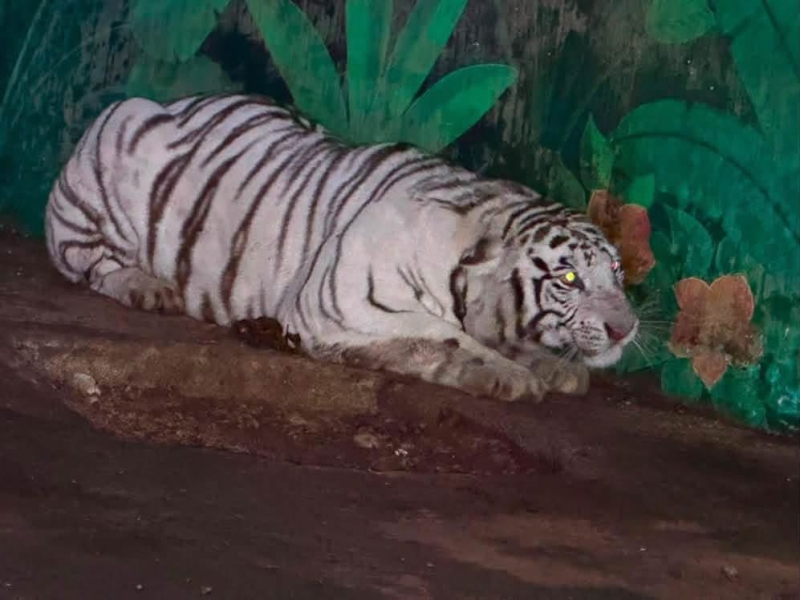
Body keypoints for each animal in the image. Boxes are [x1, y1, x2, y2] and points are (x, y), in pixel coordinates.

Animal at [45, 93, 638, 403]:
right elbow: (445, 336)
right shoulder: (344, 302)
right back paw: (147, 287)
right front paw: (510, 375)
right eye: (568, 279)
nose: (625, 329)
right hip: (112, 147)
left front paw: (551, 365)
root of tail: (172, 100)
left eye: (615, 270)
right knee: (87, 261)